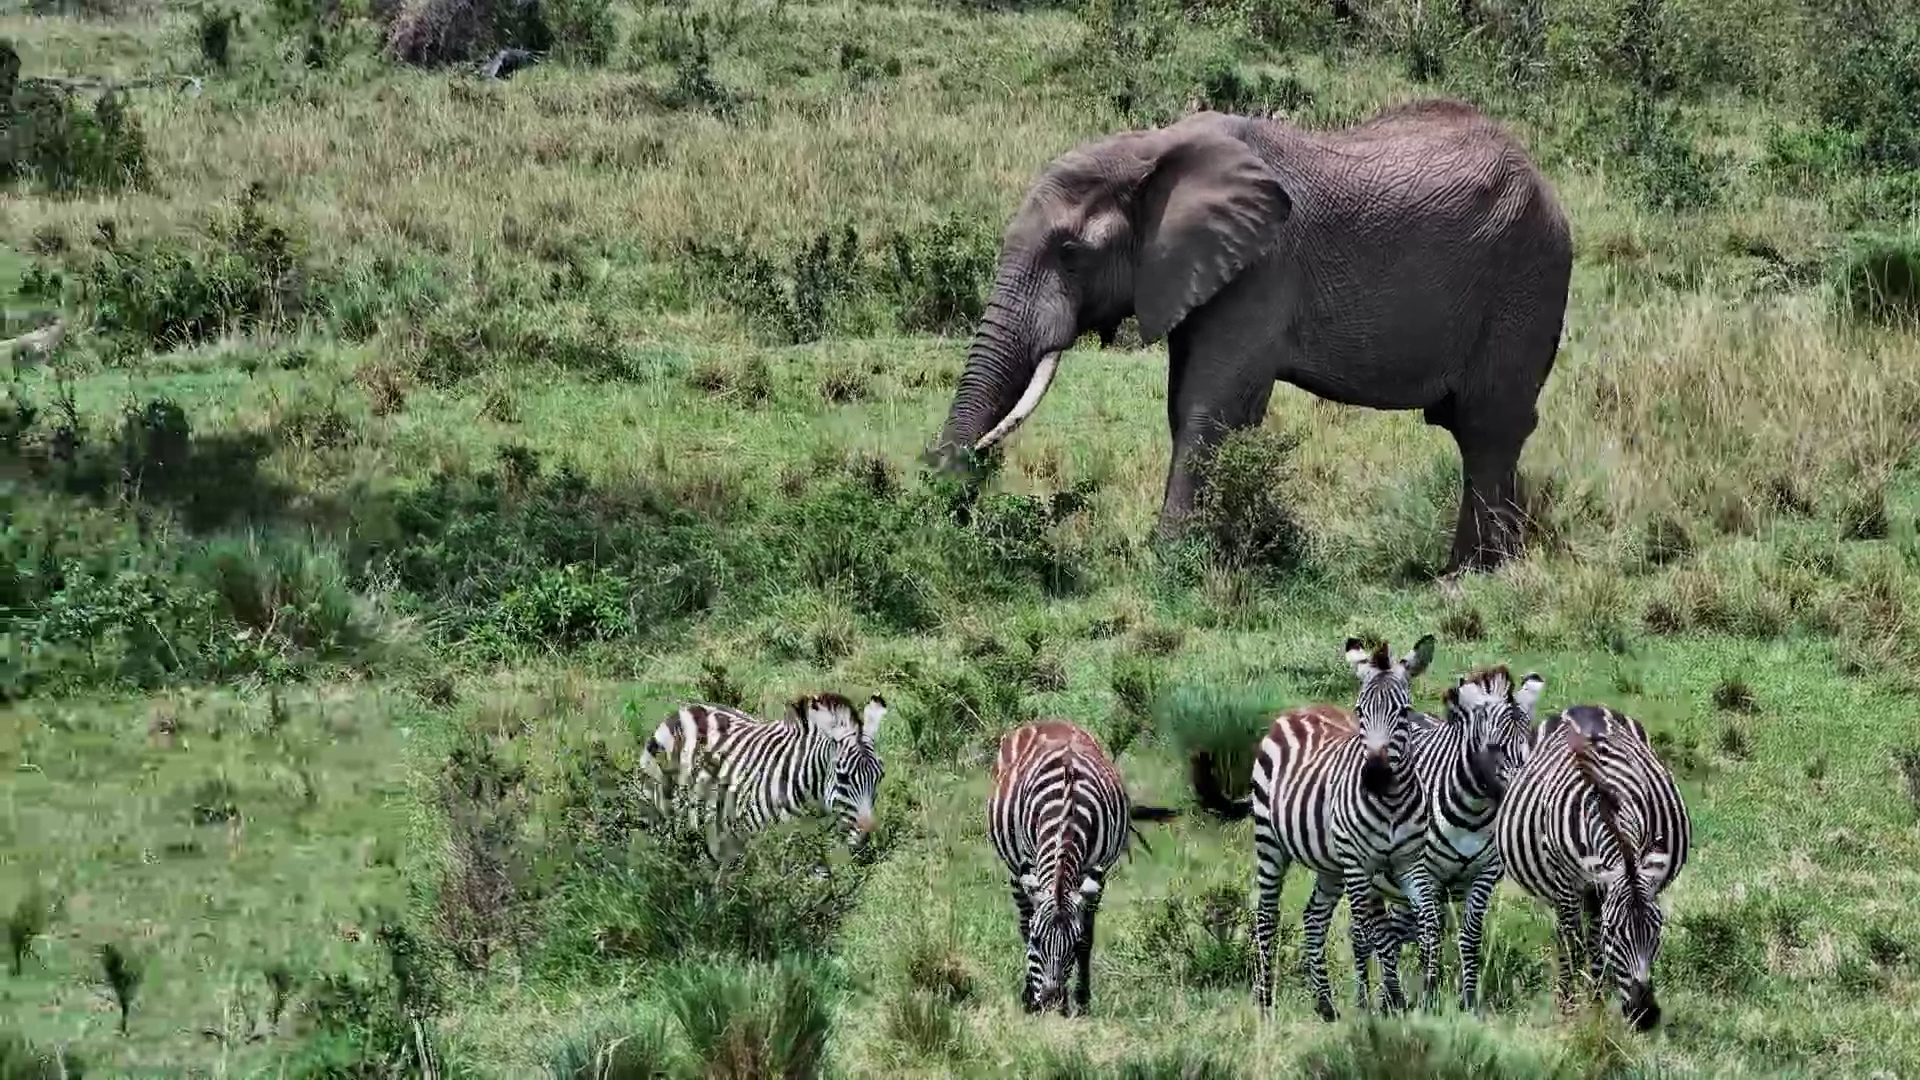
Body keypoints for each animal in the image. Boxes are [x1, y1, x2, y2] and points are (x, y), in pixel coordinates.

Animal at [922, 99, 1573, 575]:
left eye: (1070, 253)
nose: (940, 475)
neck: (1150, 148)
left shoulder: (1264, 268)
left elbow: (1210, 405)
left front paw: (1168, 564)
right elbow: (1185, 404)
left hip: (1527, 278)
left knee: (1488, 425)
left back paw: (1472, 578)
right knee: (1474, 429)